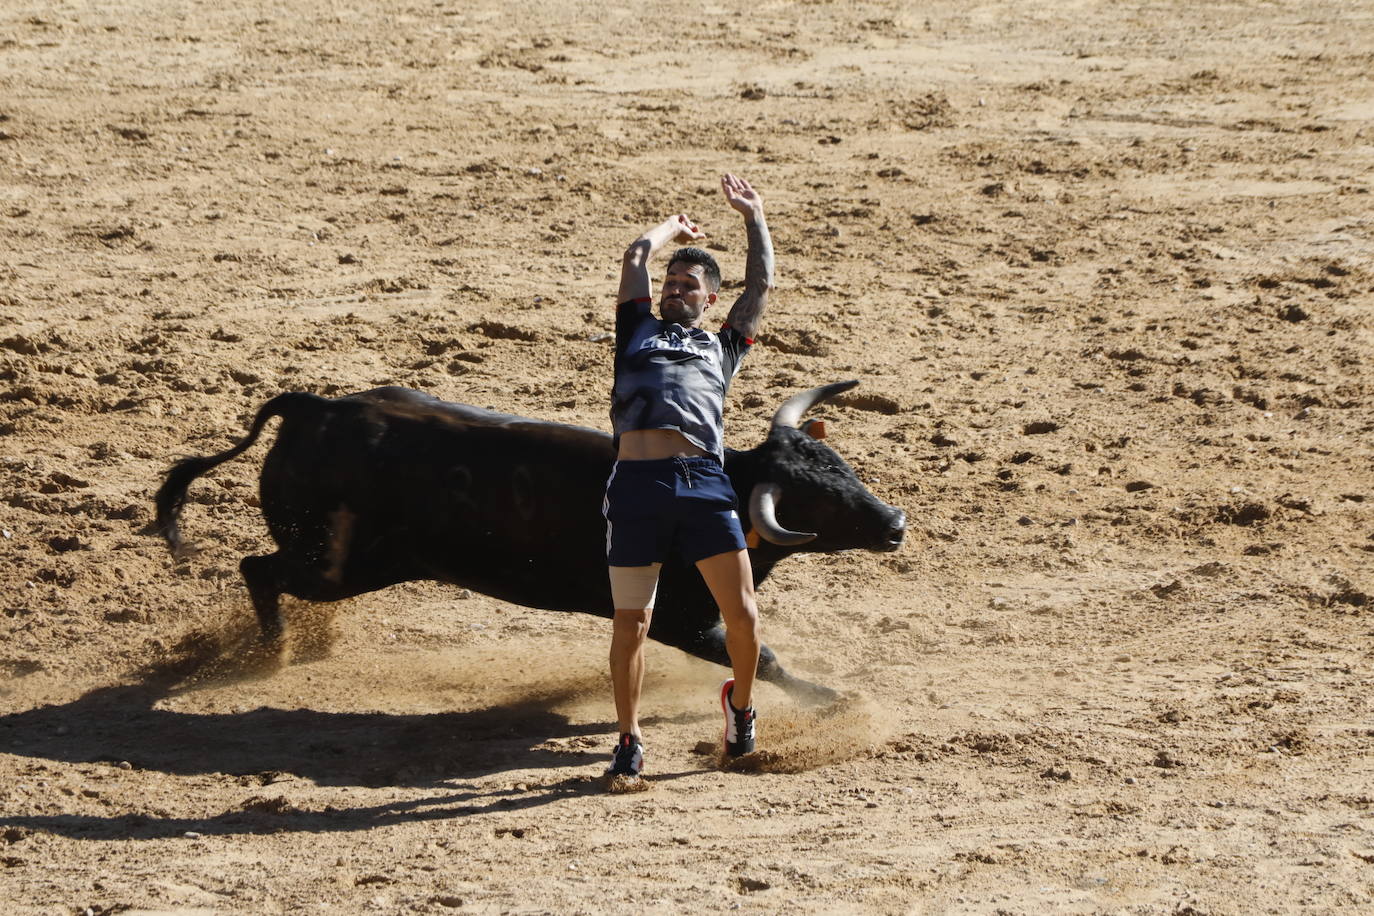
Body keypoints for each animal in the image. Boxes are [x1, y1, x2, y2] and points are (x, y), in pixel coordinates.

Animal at [155, 379, 906, 703]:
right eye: (815, 502)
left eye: (843, 470)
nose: (896, 522)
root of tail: (313, 408)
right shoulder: (679, 620)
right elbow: (764, 658)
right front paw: (834, 700)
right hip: (335, 565)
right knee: (258, 568)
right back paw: (274, 653)